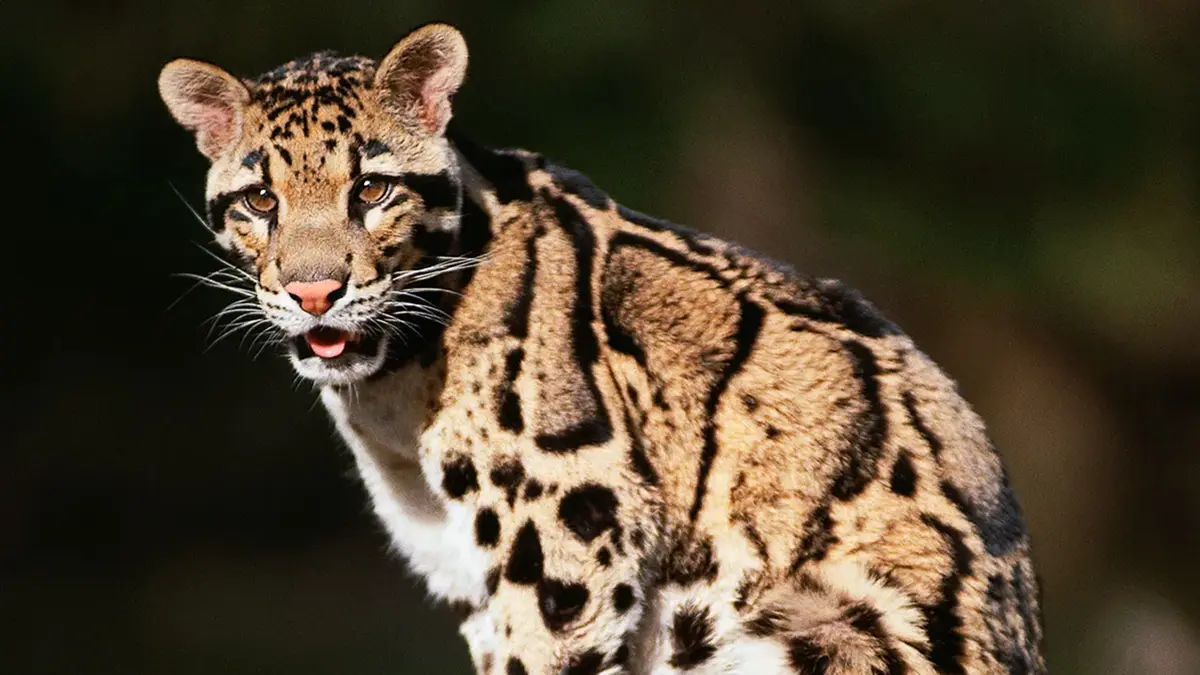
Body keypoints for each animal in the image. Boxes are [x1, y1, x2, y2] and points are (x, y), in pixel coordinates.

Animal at [159, 23, 1046, 675]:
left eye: (371, 189)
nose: (315, 292)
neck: (392, 397)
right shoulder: (468, 577)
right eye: (260, 200)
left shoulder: (570, 523)